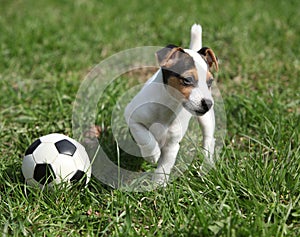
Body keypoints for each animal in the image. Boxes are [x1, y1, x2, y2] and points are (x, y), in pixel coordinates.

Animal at [124, 24, 218, 187]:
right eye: (187, 79)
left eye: (210, 82)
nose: (208, 103)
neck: (168, 106)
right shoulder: (132, 118)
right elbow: (145, 136)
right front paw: (152, 154)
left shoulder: (172, 145)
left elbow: (163, 168)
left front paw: (157, 187)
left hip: (207, 120)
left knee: (208, 139)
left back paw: (206, 165)